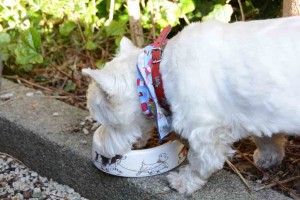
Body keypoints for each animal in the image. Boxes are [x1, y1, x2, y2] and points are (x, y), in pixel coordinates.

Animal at [83, 16, 300, 195]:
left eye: (105, 122)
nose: (102, 150)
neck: (156, 75)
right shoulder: (260, 112)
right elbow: (266, 138)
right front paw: (268, 157)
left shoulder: (205, 132)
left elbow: (201, 162)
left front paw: (183, 182)